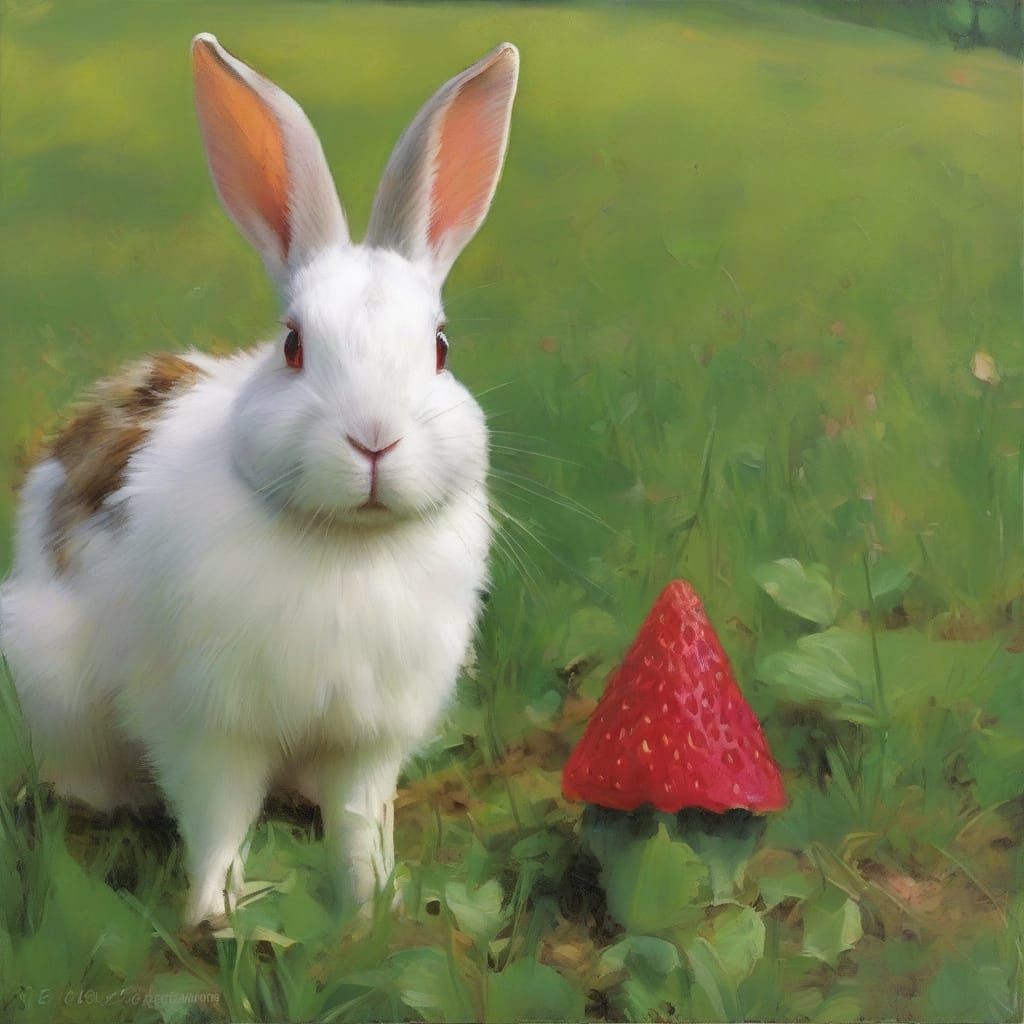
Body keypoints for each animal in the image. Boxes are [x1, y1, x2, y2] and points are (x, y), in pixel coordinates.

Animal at [0, 32, 518, 926]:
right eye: (293, 346)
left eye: (441, 347)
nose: (374, 439)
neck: (343, 545)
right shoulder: (206, 725)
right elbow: (217, 818)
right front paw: (215, 915)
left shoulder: (366, 740)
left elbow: (358, 823)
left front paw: (374, 908)